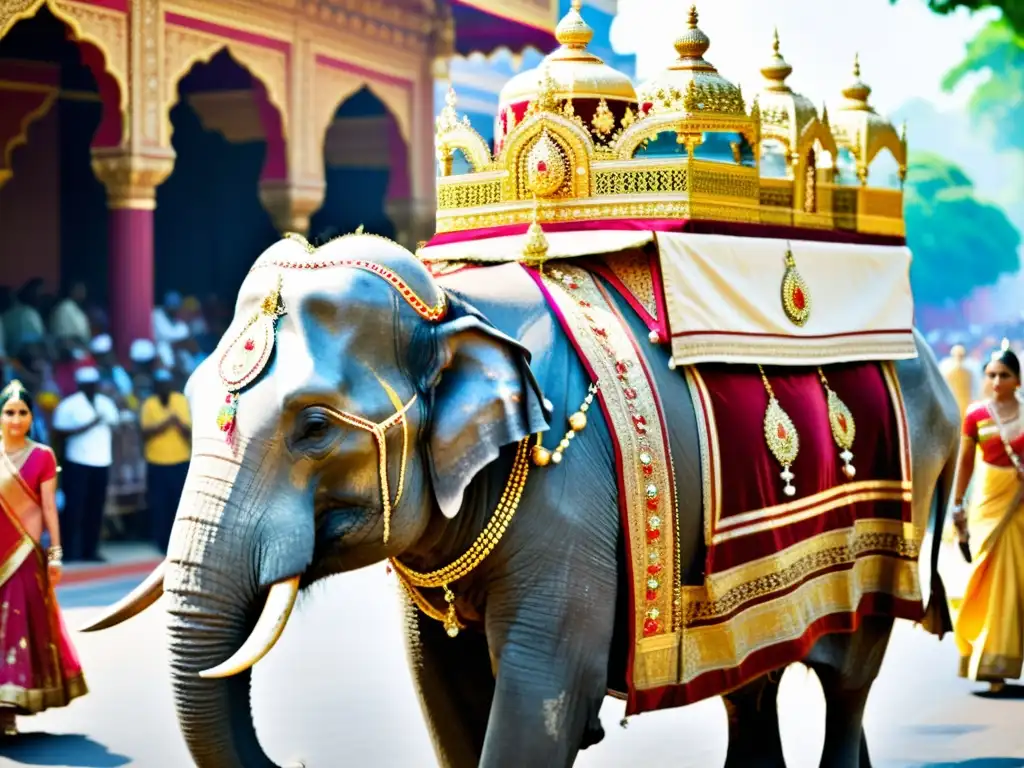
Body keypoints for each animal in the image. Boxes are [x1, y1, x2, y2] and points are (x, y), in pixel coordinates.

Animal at [86, 234, 958, 768]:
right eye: (192, 400)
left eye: (313, 428)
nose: (299, 756)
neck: (451, 304)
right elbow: (441, 685)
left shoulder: (576, 504)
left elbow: (543, 689)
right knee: (756, 685)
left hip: (895, 512)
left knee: (849, 677)